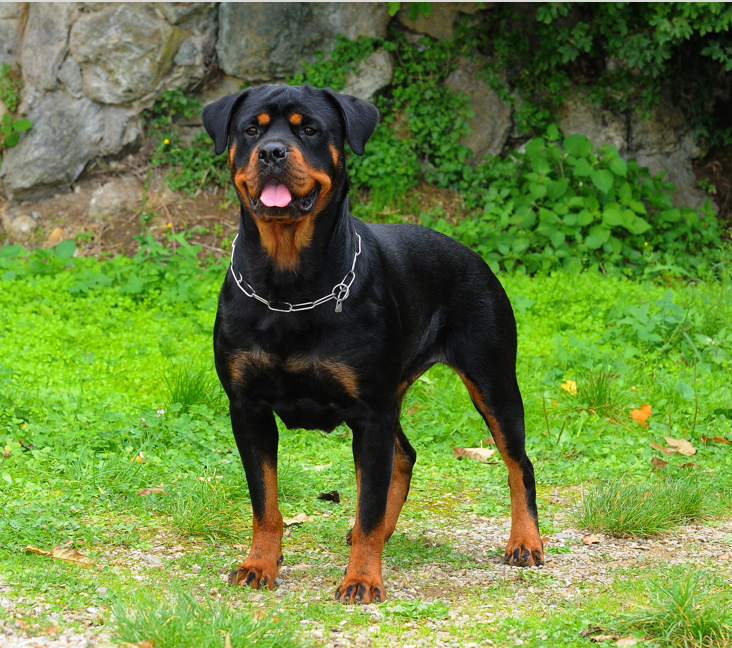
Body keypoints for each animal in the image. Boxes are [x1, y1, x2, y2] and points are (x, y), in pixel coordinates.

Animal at [202, 85, 544, 604]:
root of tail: (474, 256)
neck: (289, 285)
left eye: (309, 129)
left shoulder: (370, 412)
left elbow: (366, 504)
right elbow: (265, 501)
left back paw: (525, 542)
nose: (273, 152)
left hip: (492, 381)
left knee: (517, 463)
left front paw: (362, 578)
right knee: (403, 458)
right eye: (251, 130)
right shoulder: (248, 407)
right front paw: (259, 564)